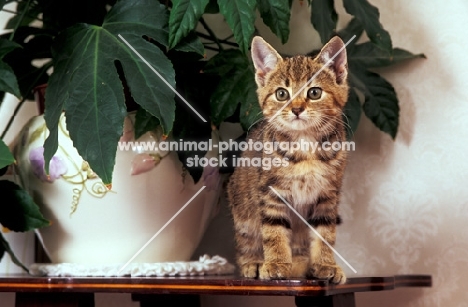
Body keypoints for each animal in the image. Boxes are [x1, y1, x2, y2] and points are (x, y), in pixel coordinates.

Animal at [227, 35, 352, 284]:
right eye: (281, 94)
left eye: (314, 93)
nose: (296, 109)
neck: (305, 145)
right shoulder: (271, 192)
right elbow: (274, 231)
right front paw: (276, 264)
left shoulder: (328, 194)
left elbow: (325, 233)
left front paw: (325, 265)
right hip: (241, 205)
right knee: (246, 240)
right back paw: (254, 262)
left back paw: (303, 264)